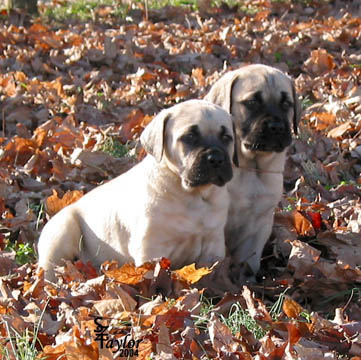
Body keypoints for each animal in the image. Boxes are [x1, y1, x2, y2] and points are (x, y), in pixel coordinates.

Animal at [38, 100, 238, 282]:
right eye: (189, 137)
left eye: (227, 137)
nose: (216, 158)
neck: (194, 195)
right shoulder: (152, 248)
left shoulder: (213, 245)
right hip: (62, 232)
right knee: (49, 268)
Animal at [205, 64, 300, 276]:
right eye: (252, 102)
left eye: (286, 103)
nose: (276, 126)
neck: (251, 168)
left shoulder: (259, 225)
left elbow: (250, 260)